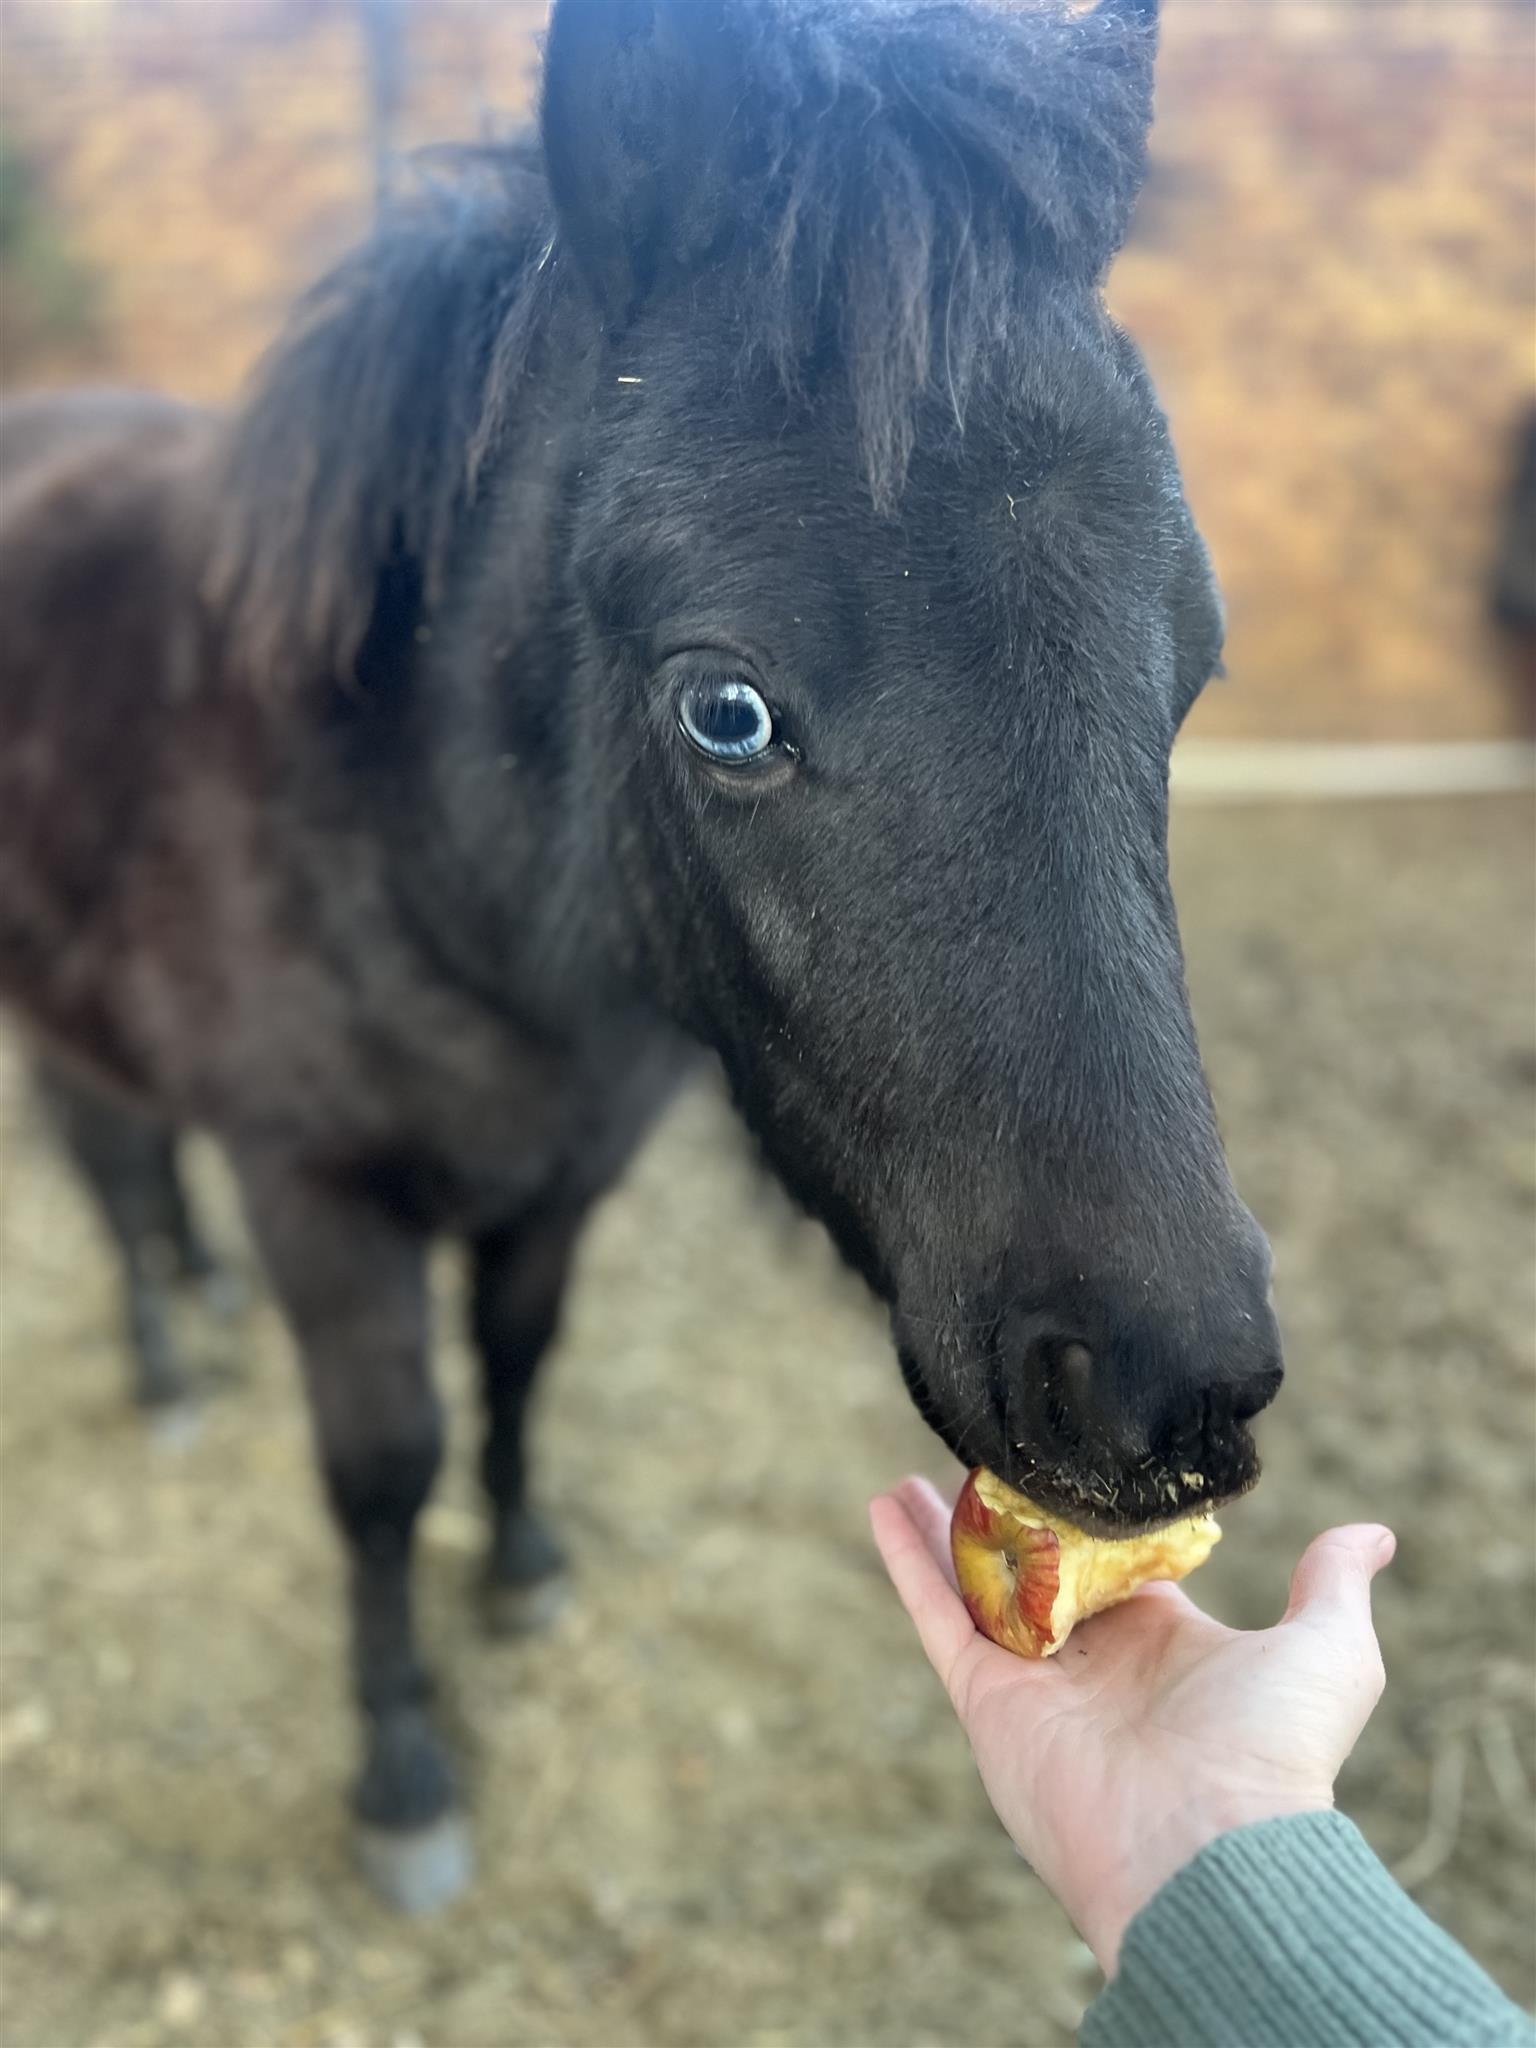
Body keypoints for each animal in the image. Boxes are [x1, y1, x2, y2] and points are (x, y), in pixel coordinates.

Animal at [0, 0, 1282, 1909]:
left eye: (1191, 666)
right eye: (725, 709)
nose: (1166, 1386)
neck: (431, 872)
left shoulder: (562, 1175)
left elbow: (520, 1358)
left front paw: (522, 1567)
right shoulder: (320, 1194)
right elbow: (382, 1468)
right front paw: (403, 1774)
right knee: (103, 1159)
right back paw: (165, 1365)